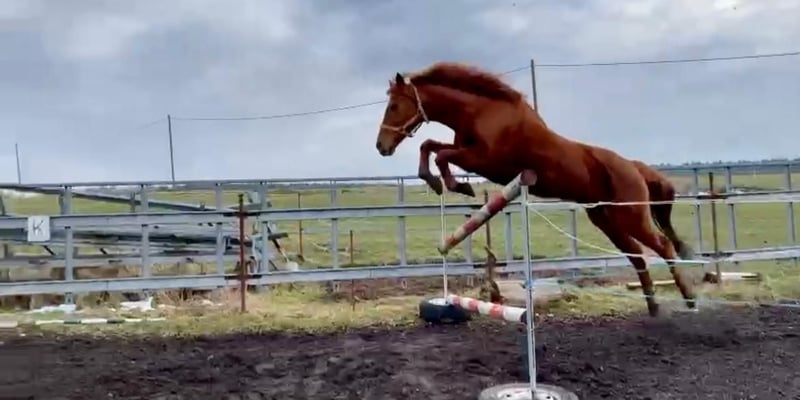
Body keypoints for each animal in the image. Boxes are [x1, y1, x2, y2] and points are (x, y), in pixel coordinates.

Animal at [374, 61, 696, 317]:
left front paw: (459, 187)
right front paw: (438, 182)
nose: (381, 147)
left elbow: (440, 154)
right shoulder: (469, 152)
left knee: (662, 245)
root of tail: (634, 167)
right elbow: (430, 147)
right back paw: (653, 305)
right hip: (606, 219)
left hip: (630, 215)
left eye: (394, 106)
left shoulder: (485, 160)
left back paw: (689, 299)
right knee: (637, 254)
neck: (482, 111)